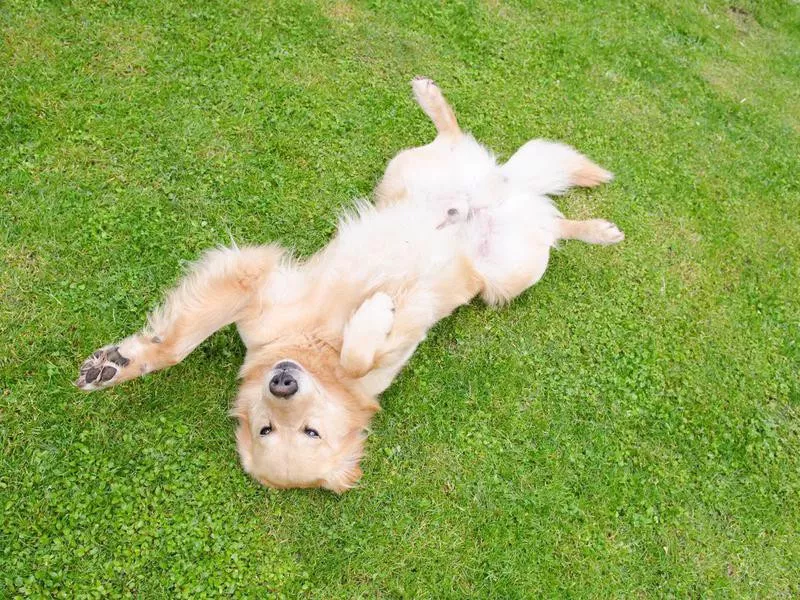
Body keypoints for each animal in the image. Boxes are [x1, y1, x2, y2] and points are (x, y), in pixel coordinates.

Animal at [75, 78, 620, 492]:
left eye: (311, 432)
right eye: (267, 428)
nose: (283, 382)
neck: (316, 348)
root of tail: (497, 194)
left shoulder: (273, 296)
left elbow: (362, 353)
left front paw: (374, 311)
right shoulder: (257, 298)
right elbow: (175, 345)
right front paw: (119, 365)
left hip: (503, 271)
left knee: (518, 189)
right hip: (430, 199)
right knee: (526, 197)